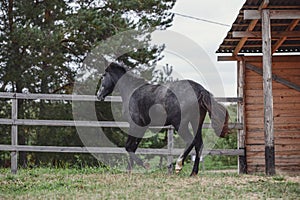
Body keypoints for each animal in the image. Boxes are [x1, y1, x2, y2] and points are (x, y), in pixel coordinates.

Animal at [97, 62, 229, 175]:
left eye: (103, 76)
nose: (99, 95)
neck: (132, 92)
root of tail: (200, 90)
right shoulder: (142, 127)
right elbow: (132, 147)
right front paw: (129, 171)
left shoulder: (136, 125)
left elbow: (128, 146)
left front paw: (144, 166)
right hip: (196, 122)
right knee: (198, 144)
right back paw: (193, 172)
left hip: (180, 124)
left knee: (191, 141)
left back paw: (178, 165)